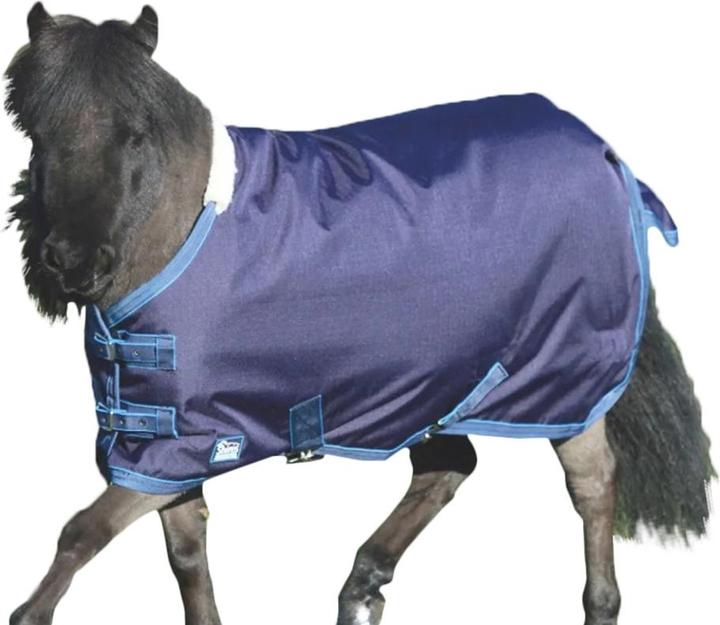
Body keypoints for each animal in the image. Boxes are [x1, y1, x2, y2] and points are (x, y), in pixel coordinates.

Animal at [4, 5, 714, 625]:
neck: (184, 229)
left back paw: (595, 600)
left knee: (592, 486)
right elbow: (185, 556)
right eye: (37, 133)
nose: (71, 262)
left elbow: (80, 534)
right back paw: (361, 587)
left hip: (565, 382)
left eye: (136, 133)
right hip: (438, 382)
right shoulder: (161, 444)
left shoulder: (182, 446)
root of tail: (606, 154)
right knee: (449, 468)